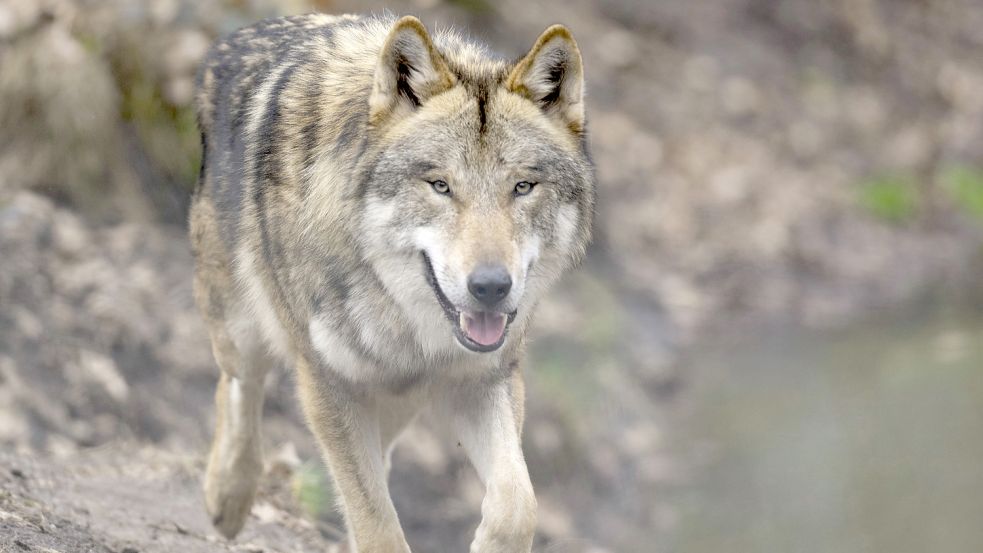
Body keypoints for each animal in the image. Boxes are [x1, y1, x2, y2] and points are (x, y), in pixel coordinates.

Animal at [189, 12, 596, 552]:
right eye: (440, 186)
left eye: (523, 187)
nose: (491, 286)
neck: (407, 323)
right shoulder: (328, 385)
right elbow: (376, 522)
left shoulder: (485, 380)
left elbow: (517, 504)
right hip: (243, 331)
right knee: (238, 385)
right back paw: (226, 497)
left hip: (398, 403)